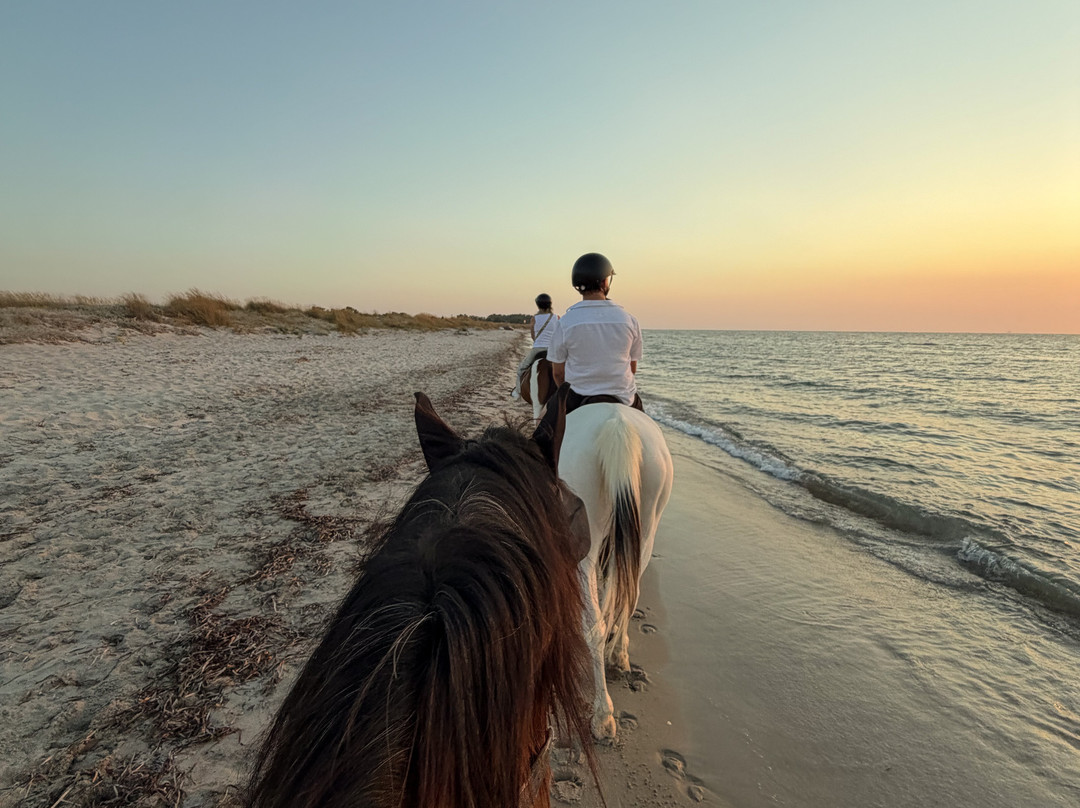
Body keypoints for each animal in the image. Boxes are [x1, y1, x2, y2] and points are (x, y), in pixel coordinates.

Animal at [557, 401, 674, 740]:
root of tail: (618, 426)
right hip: (647, 523)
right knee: (627, 596)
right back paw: (619, 654)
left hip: (586, 537)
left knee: (595, 623)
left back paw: (602, 717)